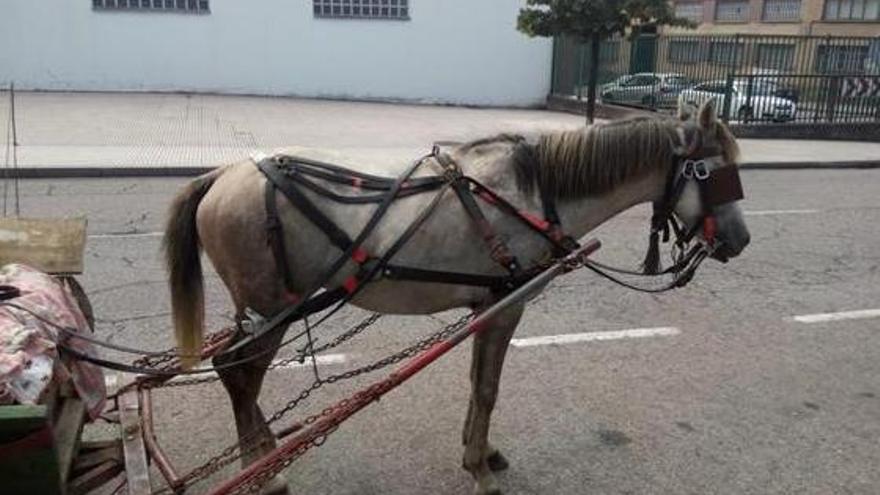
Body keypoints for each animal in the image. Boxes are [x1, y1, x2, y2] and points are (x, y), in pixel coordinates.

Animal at [165, 101, 748, 495]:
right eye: (715, 173)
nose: (739, 240)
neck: (535, 195)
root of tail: (221, 174)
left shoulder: (486, 306)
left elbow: (476, 384)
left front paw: (480, 450)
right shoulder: (507, 306)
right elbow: (488, 389)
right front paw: (478, 468)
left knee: (239, 375)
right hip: (274, 310)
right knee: (238, 374)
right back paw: (261, 470)